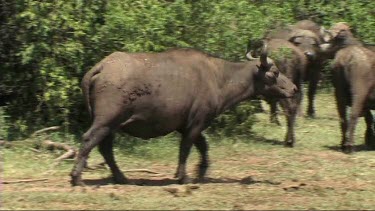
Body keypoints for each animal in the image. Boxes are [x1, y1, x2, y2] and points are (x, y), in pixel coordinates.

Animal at [71, 46, 300, 185]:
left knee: (105, 148)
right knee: (90, 141)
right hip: (106, 121)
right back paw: (77, 177)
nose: (294, 88)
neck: (218, 77)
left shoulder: (188, 125)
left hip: (111, 125)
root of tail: (100, 67)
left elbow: (203, 147)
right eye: (275, 73)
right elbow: (186, 149)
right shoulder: (196, 123)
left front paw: (201, 171)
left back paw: (121, 177)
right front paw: (183, 177)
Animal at [324, 22, 375, 152]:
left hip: (339, 93)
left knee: (343, 117)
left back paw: (343, 144)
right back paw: (350, 146)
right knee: (353, 114)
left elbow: (369, 119)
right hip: (358, 93)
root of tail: (349, 58)